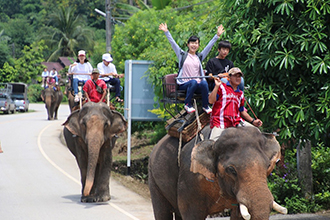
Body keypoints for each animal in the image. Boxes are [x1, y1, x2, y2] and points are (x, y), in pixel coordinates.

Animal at [148, 125, 288, 220]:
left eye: (268, 165)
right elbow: (191, 213)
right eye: (231, 170)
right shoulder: (190, 179)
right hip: (153, 177)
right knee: (162, 212)